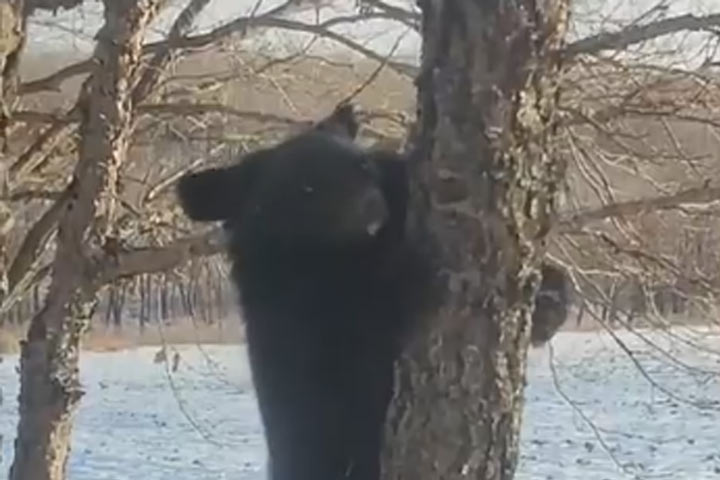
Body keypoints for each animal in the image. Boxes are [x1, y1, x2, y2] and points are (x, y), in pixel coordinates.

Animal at [177, 105, 436, 480]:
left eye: (363, 167)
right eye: (307, 188)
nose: (373, 213)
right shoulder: (302, 313)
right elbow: (366, 320)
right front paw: (412, 271)